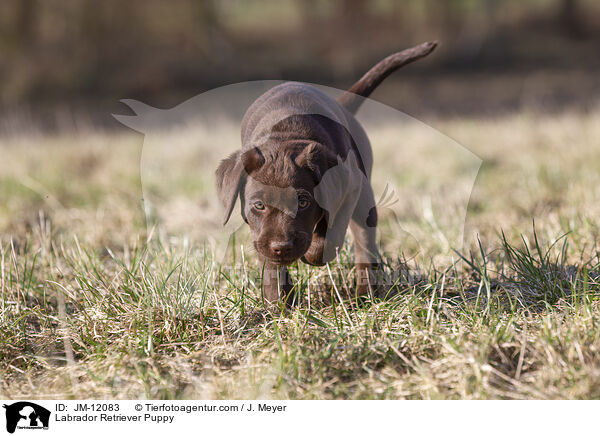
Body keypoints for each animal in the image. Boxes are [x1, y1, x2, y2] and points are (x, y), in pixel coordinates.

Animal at [214, 42, 436, 304]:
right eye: (258, 205)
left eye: (303, 202)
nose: (282, 246)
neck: (286, 135)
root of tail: (341, 105)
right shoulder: (261, 234)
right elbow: (270, 263)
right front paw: (277, 302)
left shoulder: (349, 186)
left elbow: (332, 233)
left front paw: (312, 254)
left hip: (364, 199)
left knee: (365, 244)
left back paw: (365, 294)